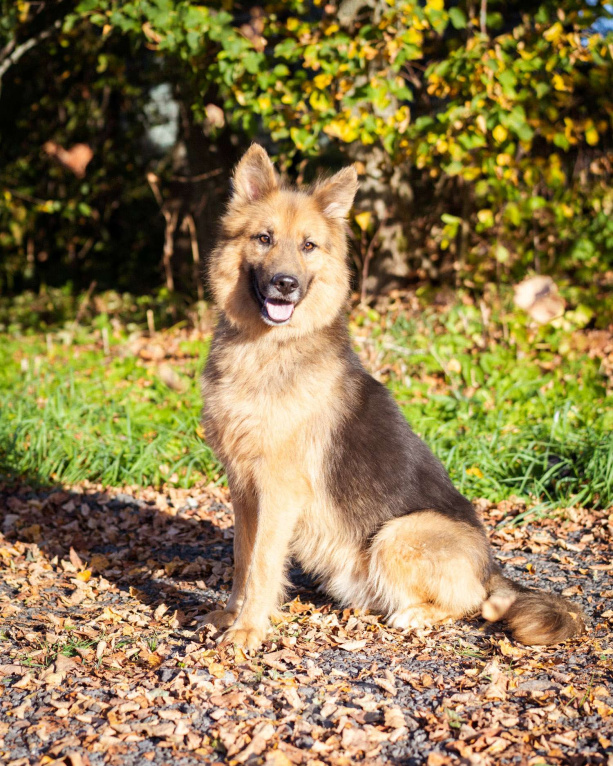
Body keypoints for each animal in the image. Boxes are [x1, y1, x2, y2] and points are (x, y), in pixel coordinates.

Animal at [200, 142, 584, 648]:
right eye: (264, 238)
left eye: (308, 246)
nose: (285, 284)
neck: (266, 348)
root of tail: (490, 568)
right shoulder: (244, 488)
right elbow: (243, 559)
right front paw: (231, 616)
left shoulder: (278, 490)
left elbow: (263, 565)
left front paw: (247, 630)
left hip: (396, 533)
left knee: (474, 602)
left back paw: (417, 614)